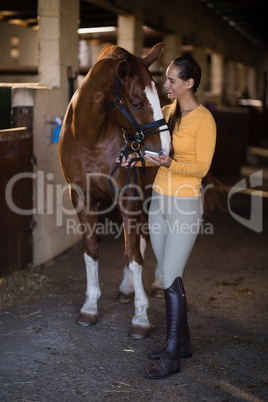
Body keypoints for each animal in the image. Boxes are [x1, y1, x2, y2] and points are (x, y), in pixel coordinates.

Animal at [59, 43, 171, 340]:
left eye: (160, 97)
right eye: (136, 103)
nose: (166, 150)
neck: (90, 138)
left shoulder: (127, 198)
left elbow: (133, 256)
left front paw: (141, 318)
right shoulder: (82, 199)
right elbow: (91, 250)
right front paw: (89, 308)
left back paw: (157, 283)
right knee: (142, 236)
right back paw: (126, 288)